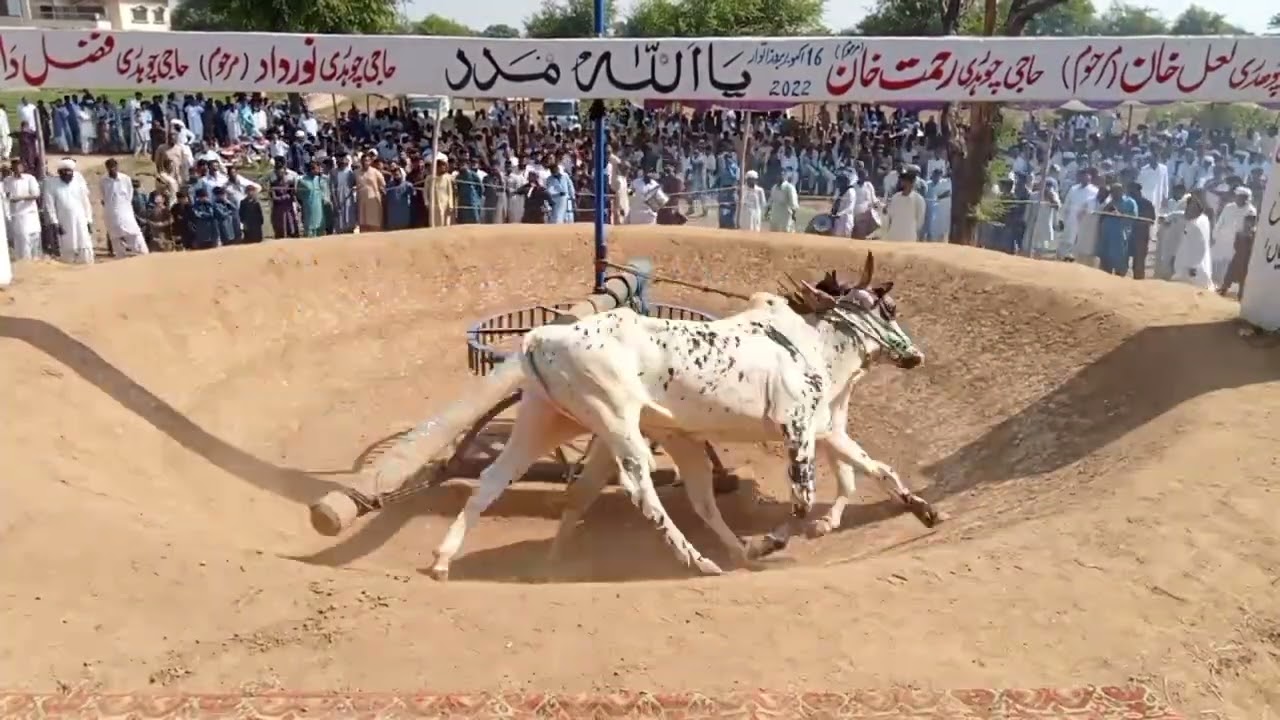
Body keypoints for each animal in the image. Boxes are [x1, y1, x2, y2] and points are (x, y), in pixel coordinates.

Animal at [427, 252, 935, 581]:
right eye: (890, 308)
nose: (915, 355)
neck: (808, 341)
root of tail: (541, 337)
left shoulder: (824, 428)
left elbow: (875, 468)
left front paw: (924, 509)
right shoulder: (798, 428)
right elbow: (802, 502)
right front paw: (767, 542)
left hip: (551, 422)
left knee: (496, 480)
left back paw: (450, 560)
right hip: (619, 425)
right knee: (643, 491)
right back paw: (700, 560)